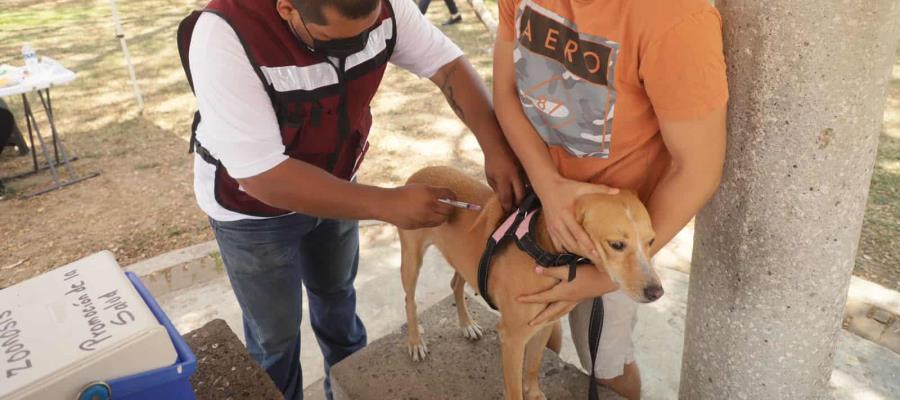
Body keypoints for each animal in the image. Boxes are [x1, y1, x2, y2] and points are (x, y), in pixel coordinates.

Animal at [400, 164, 660, 398]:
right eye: (616, 244)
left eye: (651, 241)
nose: (657, 292)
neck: (544, 251)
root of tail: (420, 172)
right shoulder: (512, 339)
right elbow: (515, 389)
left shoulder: (543, 324)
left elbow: (533, 366)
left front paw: (534, 394)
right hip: (411, 260)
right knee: (409, 300)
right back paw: (415, 342)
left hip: (463, 262)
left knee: (455, 285)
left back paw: (467, 325)